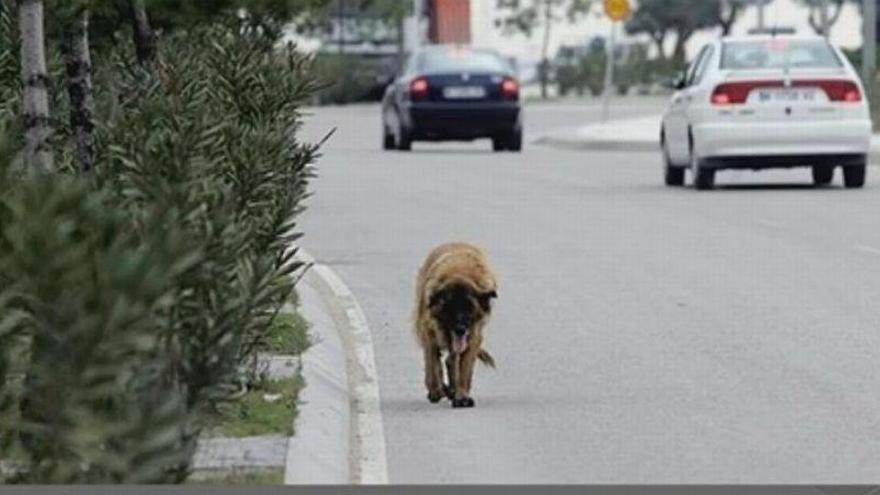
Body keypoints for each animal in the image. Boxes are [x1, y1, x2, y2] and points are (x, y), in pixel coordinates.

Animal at [416, 242, 498, 408]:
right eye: (450, 308)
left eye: (469, 308)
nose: (460, 329)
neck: (459, 273)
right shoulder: (429, 332)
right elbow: (432, 364)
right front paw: (436, 390)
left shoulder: (473, 336)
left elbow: (464, 369)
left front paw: (462, 396)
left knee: (451, 360)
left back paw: (452, 389)